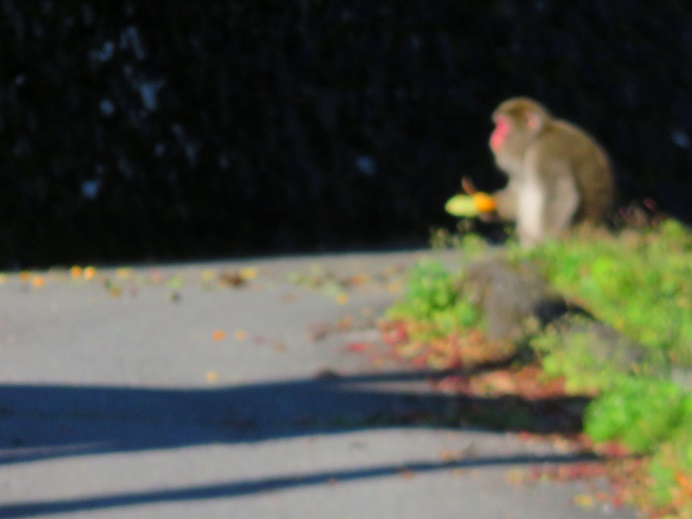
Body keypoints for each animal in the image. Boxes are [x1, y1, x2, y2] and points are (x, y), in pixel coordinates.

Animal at [476, 97, 616, 248]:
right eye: (498, 124)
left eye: (502, 125)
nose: (493, 135)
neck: (535, 140)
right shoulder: (522, 165)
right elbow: (517, 192)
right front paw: (496, 209)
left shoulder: (546, 153)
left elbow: (562, 194)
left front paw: (549, 241)